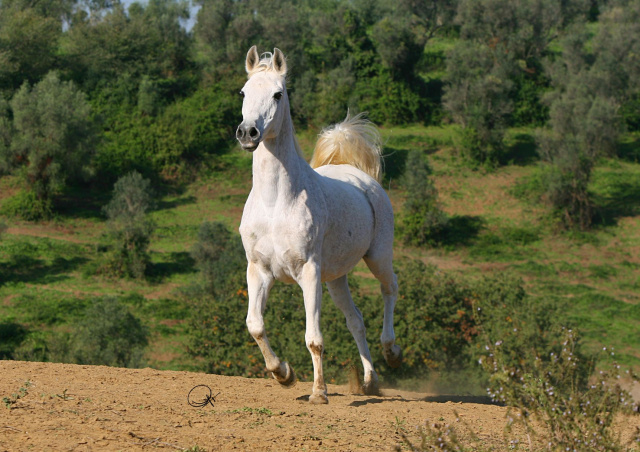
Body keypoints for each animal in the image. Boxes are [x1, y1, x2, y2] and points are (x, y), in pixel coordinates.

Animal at [238, 46, 402, 406]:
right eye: (243, 92)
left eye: (278, 93)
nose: (248, 133)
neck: (275, 203)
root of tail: (360, 176)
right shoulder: (259, 270)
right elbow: (255, 324)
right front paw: (283, 374)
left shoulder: (309, 272)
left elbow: (313, 337)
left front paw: (319, 393)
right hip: (337, 278)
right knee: (356, 321)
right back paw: (369, 381)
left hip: (378, 257)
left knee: (390, 289)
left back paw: (392, 351)